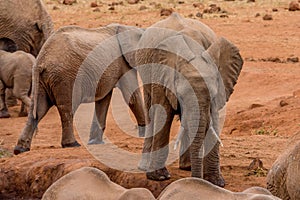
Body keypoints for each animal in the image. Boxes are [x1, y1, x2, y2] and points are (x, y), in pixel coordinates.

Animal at [13, 23, 147, 155]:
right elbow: (132, 96)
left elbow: (103, 100)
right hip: (65, 77)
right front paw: (145, 135)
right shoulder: (123, 63)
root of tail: (40, 61)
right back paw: (71, 144)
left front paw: (95, 142)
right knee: (67, 108)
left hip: (42, 81)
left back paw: (20, 149)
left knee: (38, 109)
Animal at [117, 12, 244, 186]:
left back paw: (187, 167)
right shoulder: (161, 73)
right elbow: (163, 115)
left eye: (212, 95)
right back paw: (145, 167)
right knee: (151, 113)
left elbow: (215, 120)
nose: (196, 181)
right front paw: (159, 177)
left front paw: (216, 182)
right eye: (181, 96)